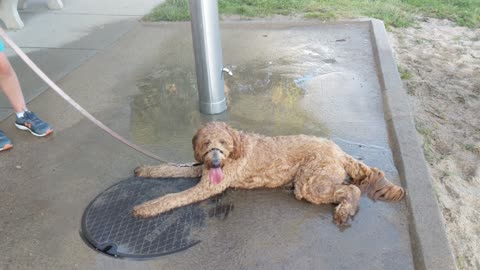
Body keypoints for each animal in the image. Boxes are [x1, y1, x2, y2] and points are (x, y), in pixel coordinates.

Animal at [132, 122, 404, 224]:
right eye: (207, 143)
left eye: (223, 142)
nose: (216, 163)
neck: (234, 149)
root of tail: (338, 151)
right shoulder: (201, 171)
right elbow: (169, 167)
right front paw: (146, 169)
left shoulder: (207, 186)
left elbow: (172, 197)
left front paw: (146, 207)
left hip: (309, 183)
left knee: (352, 188)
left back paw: (345, 210)